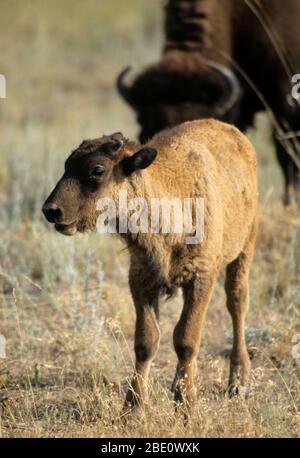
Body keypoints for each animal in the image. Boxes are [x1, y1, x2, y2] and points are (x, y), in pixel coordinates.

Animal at [41, 120, 258, 416]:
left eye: (97, 170)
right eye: (67, 165)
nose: (51, 210)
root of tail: (235, 134)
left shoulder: (201, 278)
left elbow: (186, 340)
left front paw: (185, 405)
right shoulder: (142, 281)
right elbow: (146, 342)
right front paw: (132, 409)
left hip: (245, 249)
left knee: (237, 303)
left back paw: (238, 382)